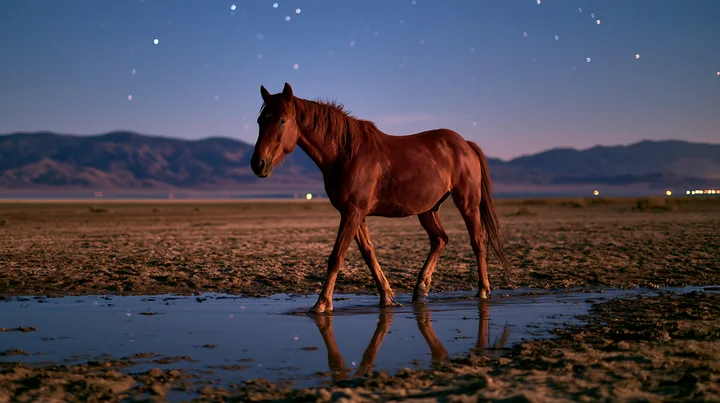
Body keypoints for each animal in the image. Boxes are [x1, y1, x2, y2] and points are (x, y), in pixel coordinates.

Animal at [250, 82, 510, 313]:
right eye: (260, 121)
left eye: (282, 120)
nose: (257, 164)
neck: (345, 154)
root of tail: (466, 145)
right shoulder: (354, 214)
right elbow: (368, 253)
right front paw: (387, 297)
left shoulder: (353, 213)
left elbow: (337, 256)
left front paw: (322, 304)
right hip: (428, 209)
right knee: (440, 239)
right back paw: (420, 289)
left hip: (467, 204)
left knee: (477, 241)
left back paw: (483, 290)